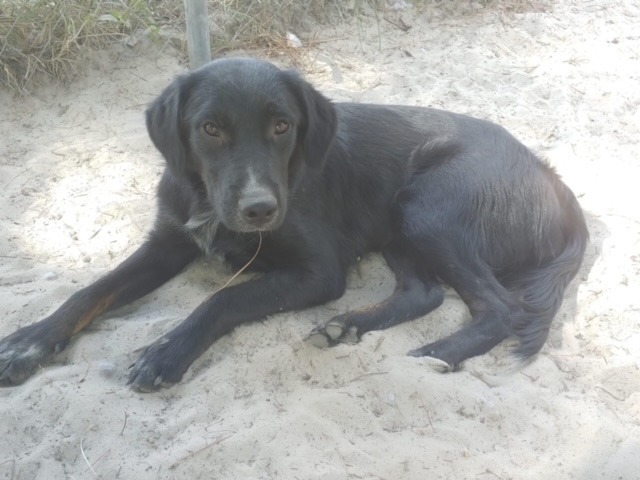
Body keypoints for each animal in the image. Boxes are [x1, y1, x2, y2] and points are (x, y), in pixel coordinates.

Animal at [0, 58, 588, 392]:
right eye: (209, 129)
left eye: (282, 126)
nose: (260, 209)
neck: (210, 200)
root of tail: (555, 179)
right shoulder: (166, 243)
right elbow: (90, 291)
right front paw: (29, 342)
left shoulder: (319, 272)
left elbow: (224, 299)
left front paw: (166, 352)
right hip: (400, 223)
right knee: (425, 293)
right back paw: (346, 327)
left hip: (429, 209)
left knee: (500, 307)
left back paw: (433, 358)